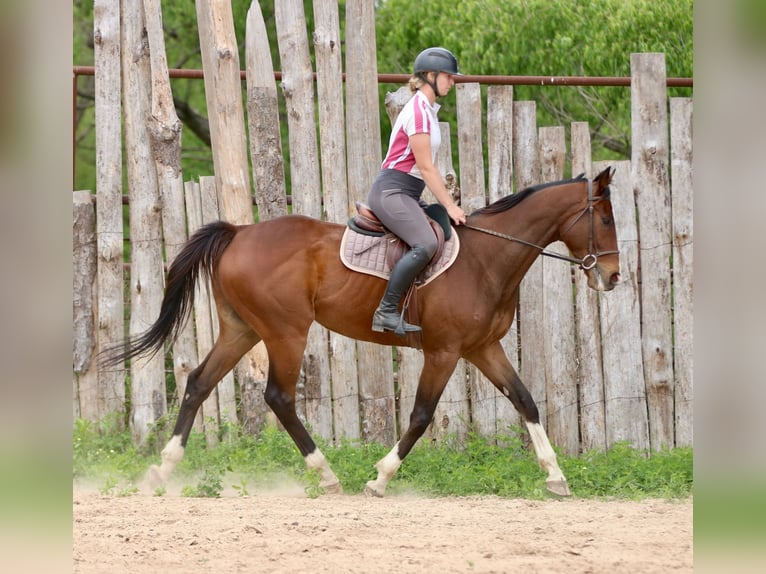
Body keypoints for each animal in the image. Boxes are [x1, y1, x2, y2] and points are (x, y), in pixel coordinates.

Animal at [102, 166, 620, 497]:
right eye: (606, 218)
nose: (613, 278)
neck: (484, 260)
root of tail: (238, 232)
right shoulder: (444, 352)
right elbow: (421, 416)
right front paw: (380, 478)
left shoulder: (483, 348)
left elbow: (526, 401)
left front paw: (555, 476)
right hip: (286, 332)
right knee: (278, 397)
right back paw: (327, 475)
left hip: (241, 330)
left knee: (198, 383)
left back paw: (162, 470)